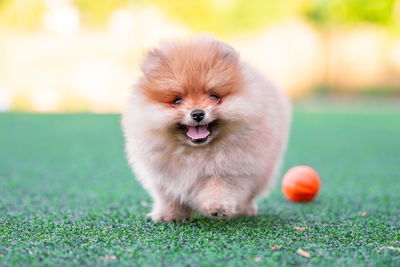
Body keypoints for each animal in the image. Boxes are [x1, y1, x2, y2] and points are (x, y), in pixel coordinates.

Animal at [122, 36, 290, 223]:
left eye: (214, 96)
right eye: (177, 100)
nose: (197, 113)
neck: (195, 152)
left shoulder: (232, 169)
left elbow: (220, 187)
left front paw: (217, 207)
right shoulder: (165, 177)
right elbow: (169, 197)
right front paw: (169, 215)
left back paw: (245, 210)